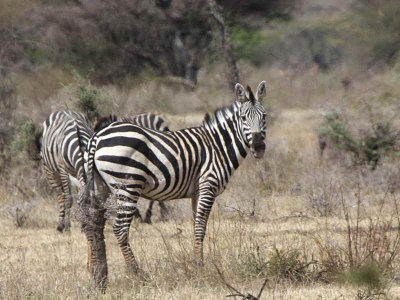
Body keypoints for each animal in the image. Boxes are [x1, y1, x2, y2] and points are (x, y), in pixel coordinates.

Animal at [80, 81, 268, 288]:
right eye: (243, 118)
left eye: (264, 116)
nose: (259, 147)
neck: (218, 147)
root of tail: (98, 136)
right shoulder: (207, 186)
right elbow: (200, 226)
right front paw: (199, 267)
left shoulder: (196, 192)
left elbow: (197, 226)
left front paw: (197, 262)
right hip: (127, 186)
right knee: (119, 229)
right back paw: (137, 273)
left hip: (99, 185)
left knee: (93, 224)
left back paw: (99, 274)